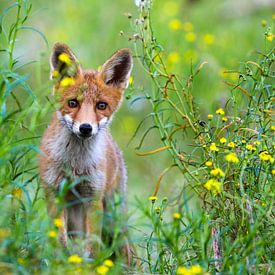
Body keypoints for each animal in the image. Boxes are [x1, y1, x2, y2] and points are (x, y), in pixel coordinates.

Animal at [38, 43, 134, 264]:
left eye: (101, 105)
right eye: (73, 103)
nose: (85, 128)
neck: (75, 165)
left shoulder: (93, 196)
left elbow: (92, 248)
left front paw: (89, 266)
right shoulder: (54, 193)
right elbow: (60, 241)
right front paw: (61, 263)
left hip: (113, 215)